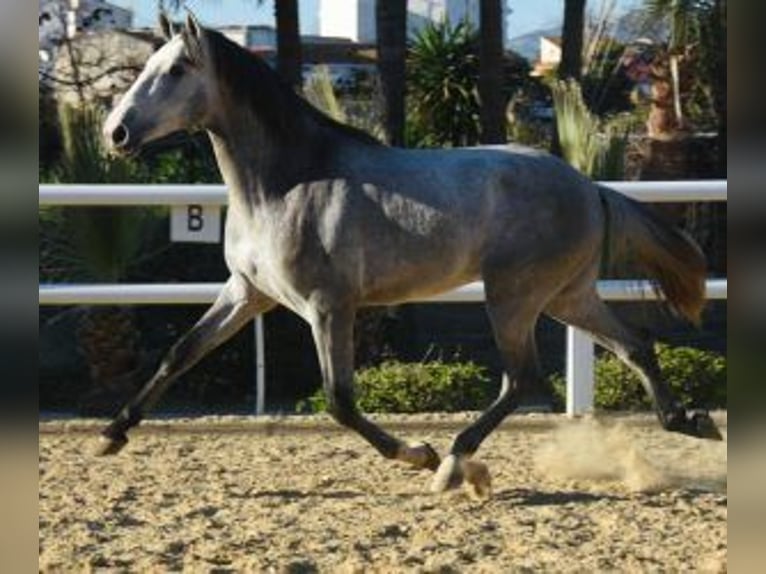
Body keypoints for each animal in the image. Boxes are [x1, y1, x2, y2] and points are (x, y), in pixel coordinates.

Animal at [99, 13, 724, 498]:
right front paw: (113, 432)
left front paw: (418, 454)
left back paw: (453, 464)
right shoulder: (248, 293)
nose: (116, 134)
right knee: (633, 345)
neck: (287, 182)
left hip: (514, 296)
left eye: (176, 70)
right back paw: (690, 421)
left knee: (523, 378)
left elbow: (340, 401)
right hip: (566, 295)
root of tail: (589, 187)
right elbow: (179, 353)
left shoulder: (328, 306)